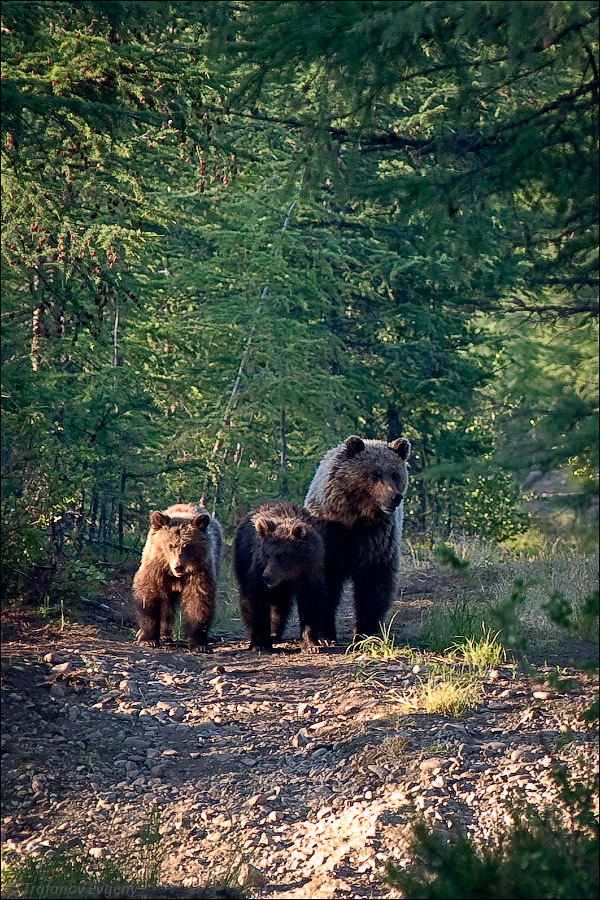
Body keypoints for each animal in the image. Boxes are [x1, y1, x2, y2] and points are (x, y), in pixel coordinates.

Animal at [133, 502, 223, 652]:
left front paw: (199, 644)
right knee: (166, 605)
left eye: (187, 545)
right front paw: (148, 639)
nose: (178, 566)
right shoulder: (155, 569)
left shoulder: (200, 573)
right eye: (171, 545)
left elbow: (199, 601)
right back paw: (163, 635)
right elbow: (148, 598)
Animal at [234, 500, 328, 652]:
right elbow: (256, 599)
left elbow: (311, 601)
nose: (266, 576)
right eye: (267, 554)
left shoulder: (310, 571)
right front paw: (260, 643)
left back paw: (275, 632)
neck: (292, 572)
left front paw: (311, 643)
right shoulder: (257, 568)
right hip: (242, 558)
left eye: (282, 556)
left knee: (280, 602)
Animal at [304, 434, 408, 640]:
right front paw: (324, 633)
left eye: (395, 474)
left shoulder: (375, 536)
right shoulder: (331, 534)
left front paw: (364, 631)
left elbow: (373, 582)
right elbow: (326, 579)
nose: (394, 497)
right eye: (375, 473)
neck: (355, 517)